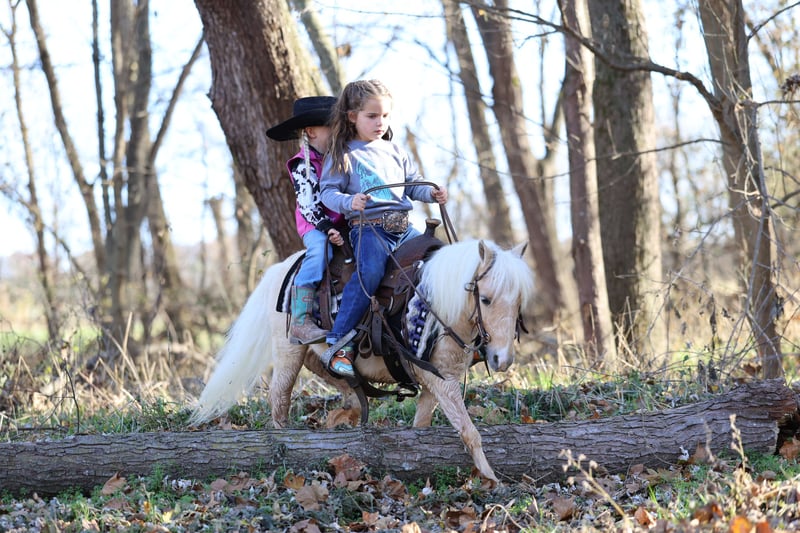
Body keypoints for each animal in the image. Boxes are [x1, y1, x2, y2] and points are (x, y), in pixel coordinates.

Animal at [190, 237, 534, 482]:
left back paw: (346, 410)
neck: (437, 306)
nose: (502, 359)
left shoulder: (434, 384)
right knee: (279, 396)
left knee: (334, 375)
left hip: (315, 353)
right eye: (485, 299)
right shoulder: (441, 381)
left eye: (518, 301)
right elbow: (469, 431)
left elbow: (422, 425)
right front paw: (491, 479)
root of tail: (283, 268)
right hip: (288, 350)